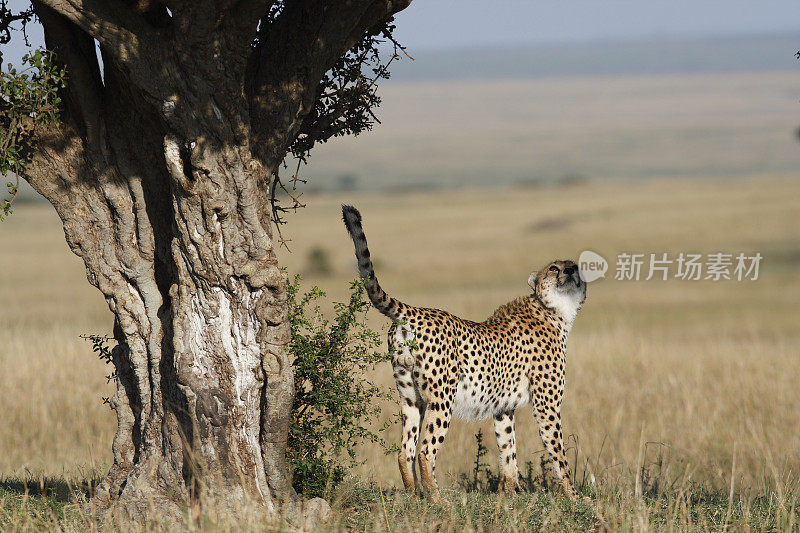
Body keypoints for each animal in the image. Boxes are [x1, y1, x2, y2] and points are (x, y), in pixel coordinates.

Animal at [342, 204, 588, 498]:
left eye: (575, 266)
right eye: (553, 268)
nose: (571, 271)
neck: (554, 310)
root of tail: (414, 312)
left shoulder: (503, 407)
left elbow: (508, 449)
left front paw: (510, 493)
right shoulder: (546, 404)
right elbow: (558, 452)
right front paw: (574, 497)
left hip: (410, 396)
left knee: (405, 451)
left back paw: (414, 495)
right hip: (442, 396)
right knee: (425, 451)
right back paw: (437, 499)